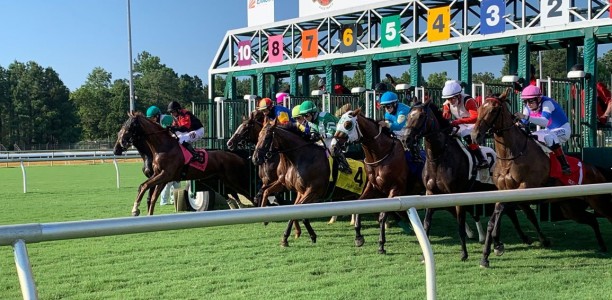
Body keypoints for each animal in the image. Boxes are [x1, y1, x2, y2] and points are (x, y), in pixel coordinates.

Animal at [114, 112, 253, 216]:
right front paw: (145, 213)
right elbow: (148, 192)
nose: (120, 145)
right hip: (215, 181)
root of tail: (235, 156)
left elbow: (145, 187)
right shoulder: (160, 176)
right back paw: (238, 207)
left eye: (131, 125)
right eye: (123, 125)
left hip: (233, 179)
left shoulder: (165, 175)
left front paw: (135, 210)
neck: (163, 147)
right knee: (233, 194)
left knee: (247, 192)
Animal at [251, 118, 332, 247]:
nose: (255, 158)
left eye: (267, 137)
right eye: (258, 136)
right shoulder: (288, 185)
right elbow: (267, 191)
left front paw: (286, 238)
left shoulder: (313, 191)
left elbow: (297, 212)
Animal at [330, 109, 426, 254]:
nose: (333, 147)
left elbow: (382, 215)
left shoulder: (395, 189)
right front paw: (358, 237)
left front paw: (381, 244)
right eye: (337, 124)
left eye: (348, 124)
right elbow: (359, 206)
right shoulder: (373, 187)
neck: (381, 155)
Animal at [404, 101, 548, 260]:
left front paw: (464, 253)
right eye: (408, 116)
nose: (406, 139)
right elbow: (426, 224)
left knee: (510, 211)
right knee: (510, 212)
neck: (439, 157)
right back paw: (507, 242)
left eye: (421, 116)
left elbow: (460, 225)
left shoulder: (457, 194)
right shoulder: (430, 193)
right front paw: (424, 257)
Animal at [470, 89, 612, 268]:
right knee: (592, 219)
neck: (511, 156)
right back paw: (602, 245)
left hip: (598, 201)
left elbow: (503, 209)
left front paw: (498, 244)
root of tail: (594, 169)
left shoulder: (525, 188)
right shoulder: (503, 191)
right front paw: (486, 255)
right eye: (480, 107)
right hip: (570, 208)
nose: (475, 135)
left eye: (494, 109)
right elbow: (493, 219)